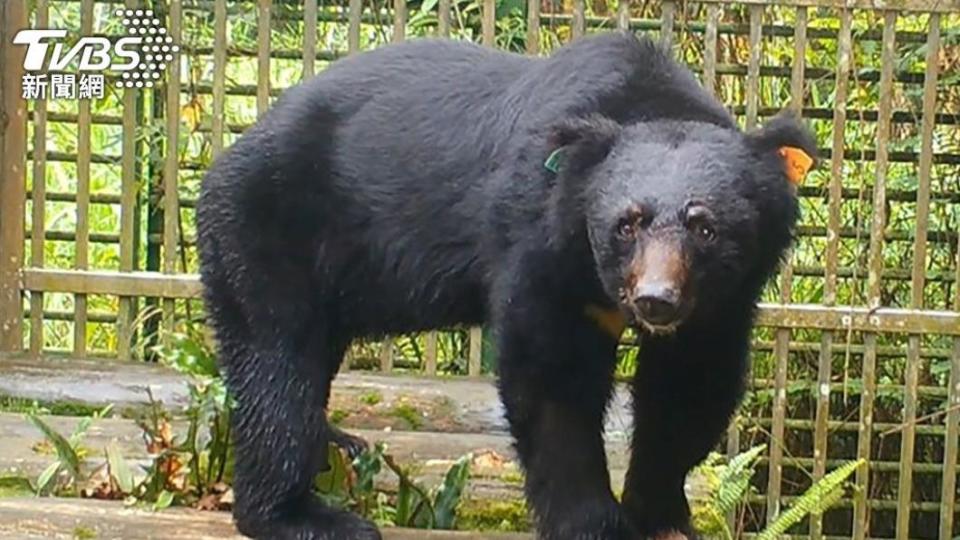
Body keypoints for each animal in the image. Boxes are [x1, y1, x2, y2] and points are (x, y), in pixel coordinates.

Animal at [199, 31, 812, 536]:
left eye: (705, 227)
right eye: (627, 223)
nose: (656, 301)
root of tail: (227, 155)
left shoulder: (723, 297)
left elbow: (689, 384)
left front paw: (660, 514)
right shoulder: (538, 241)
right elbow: (552, 376)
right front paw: (595, 523)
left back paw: (339, 446)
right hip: (267, 229)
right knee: (278, 365)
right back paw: (302, 515)